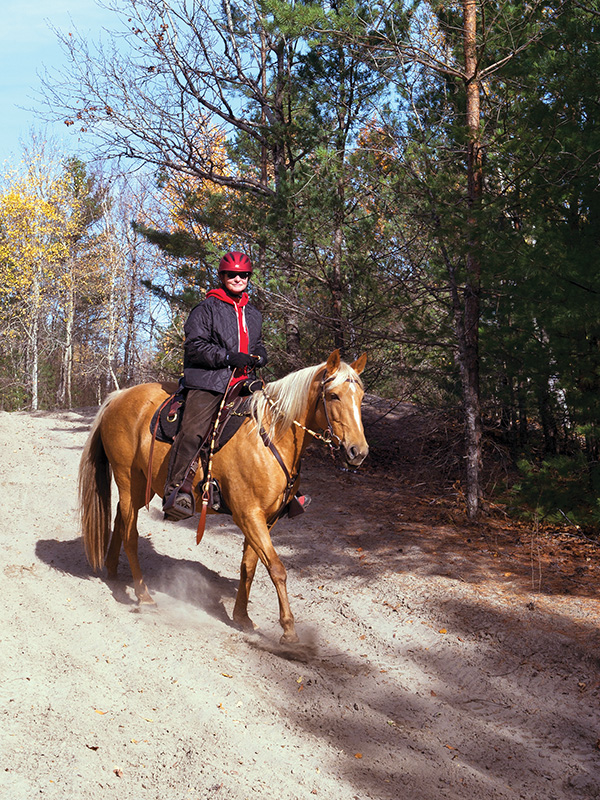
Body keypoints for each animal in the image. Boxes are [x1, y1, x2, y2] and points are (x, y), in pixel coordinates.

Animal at [78, 349, 368, 643]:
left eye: (361, 397)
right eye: (334, 396)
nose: (358, 452)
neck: (272, 436)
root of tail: (119, 396)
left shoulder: (267, 519)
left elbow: (250, 566)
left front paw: (242, 618)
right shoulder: (248, 514)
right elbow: (276, 568)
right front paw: (288, 631)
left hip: (137, 486)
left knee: (120, 518)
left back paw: (112, 571)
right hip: (128, 478)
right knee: (131, 535)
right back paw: (143, 595)